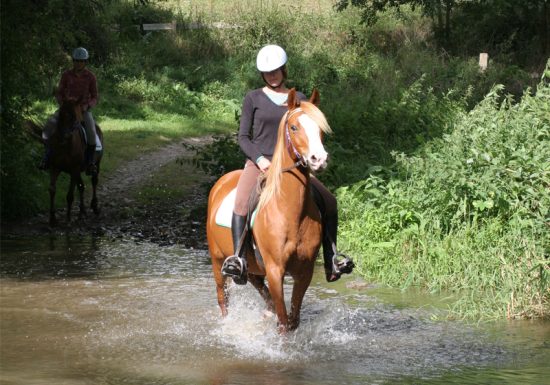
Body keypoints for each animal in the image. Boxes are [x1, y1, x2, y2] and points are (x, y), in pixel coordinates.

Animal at [208, 88, 332, 332]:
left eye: (320, 128)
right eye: (294, 127)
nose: (318, 159)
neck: (289, 211)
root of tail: (222, 182)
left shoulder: (305, 271)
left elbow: (293, 319)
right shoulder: (276, 271)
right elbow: (284, 322)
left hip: (252, 265)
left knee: (256, 283)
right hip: (218, 261)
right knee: (222, 298)